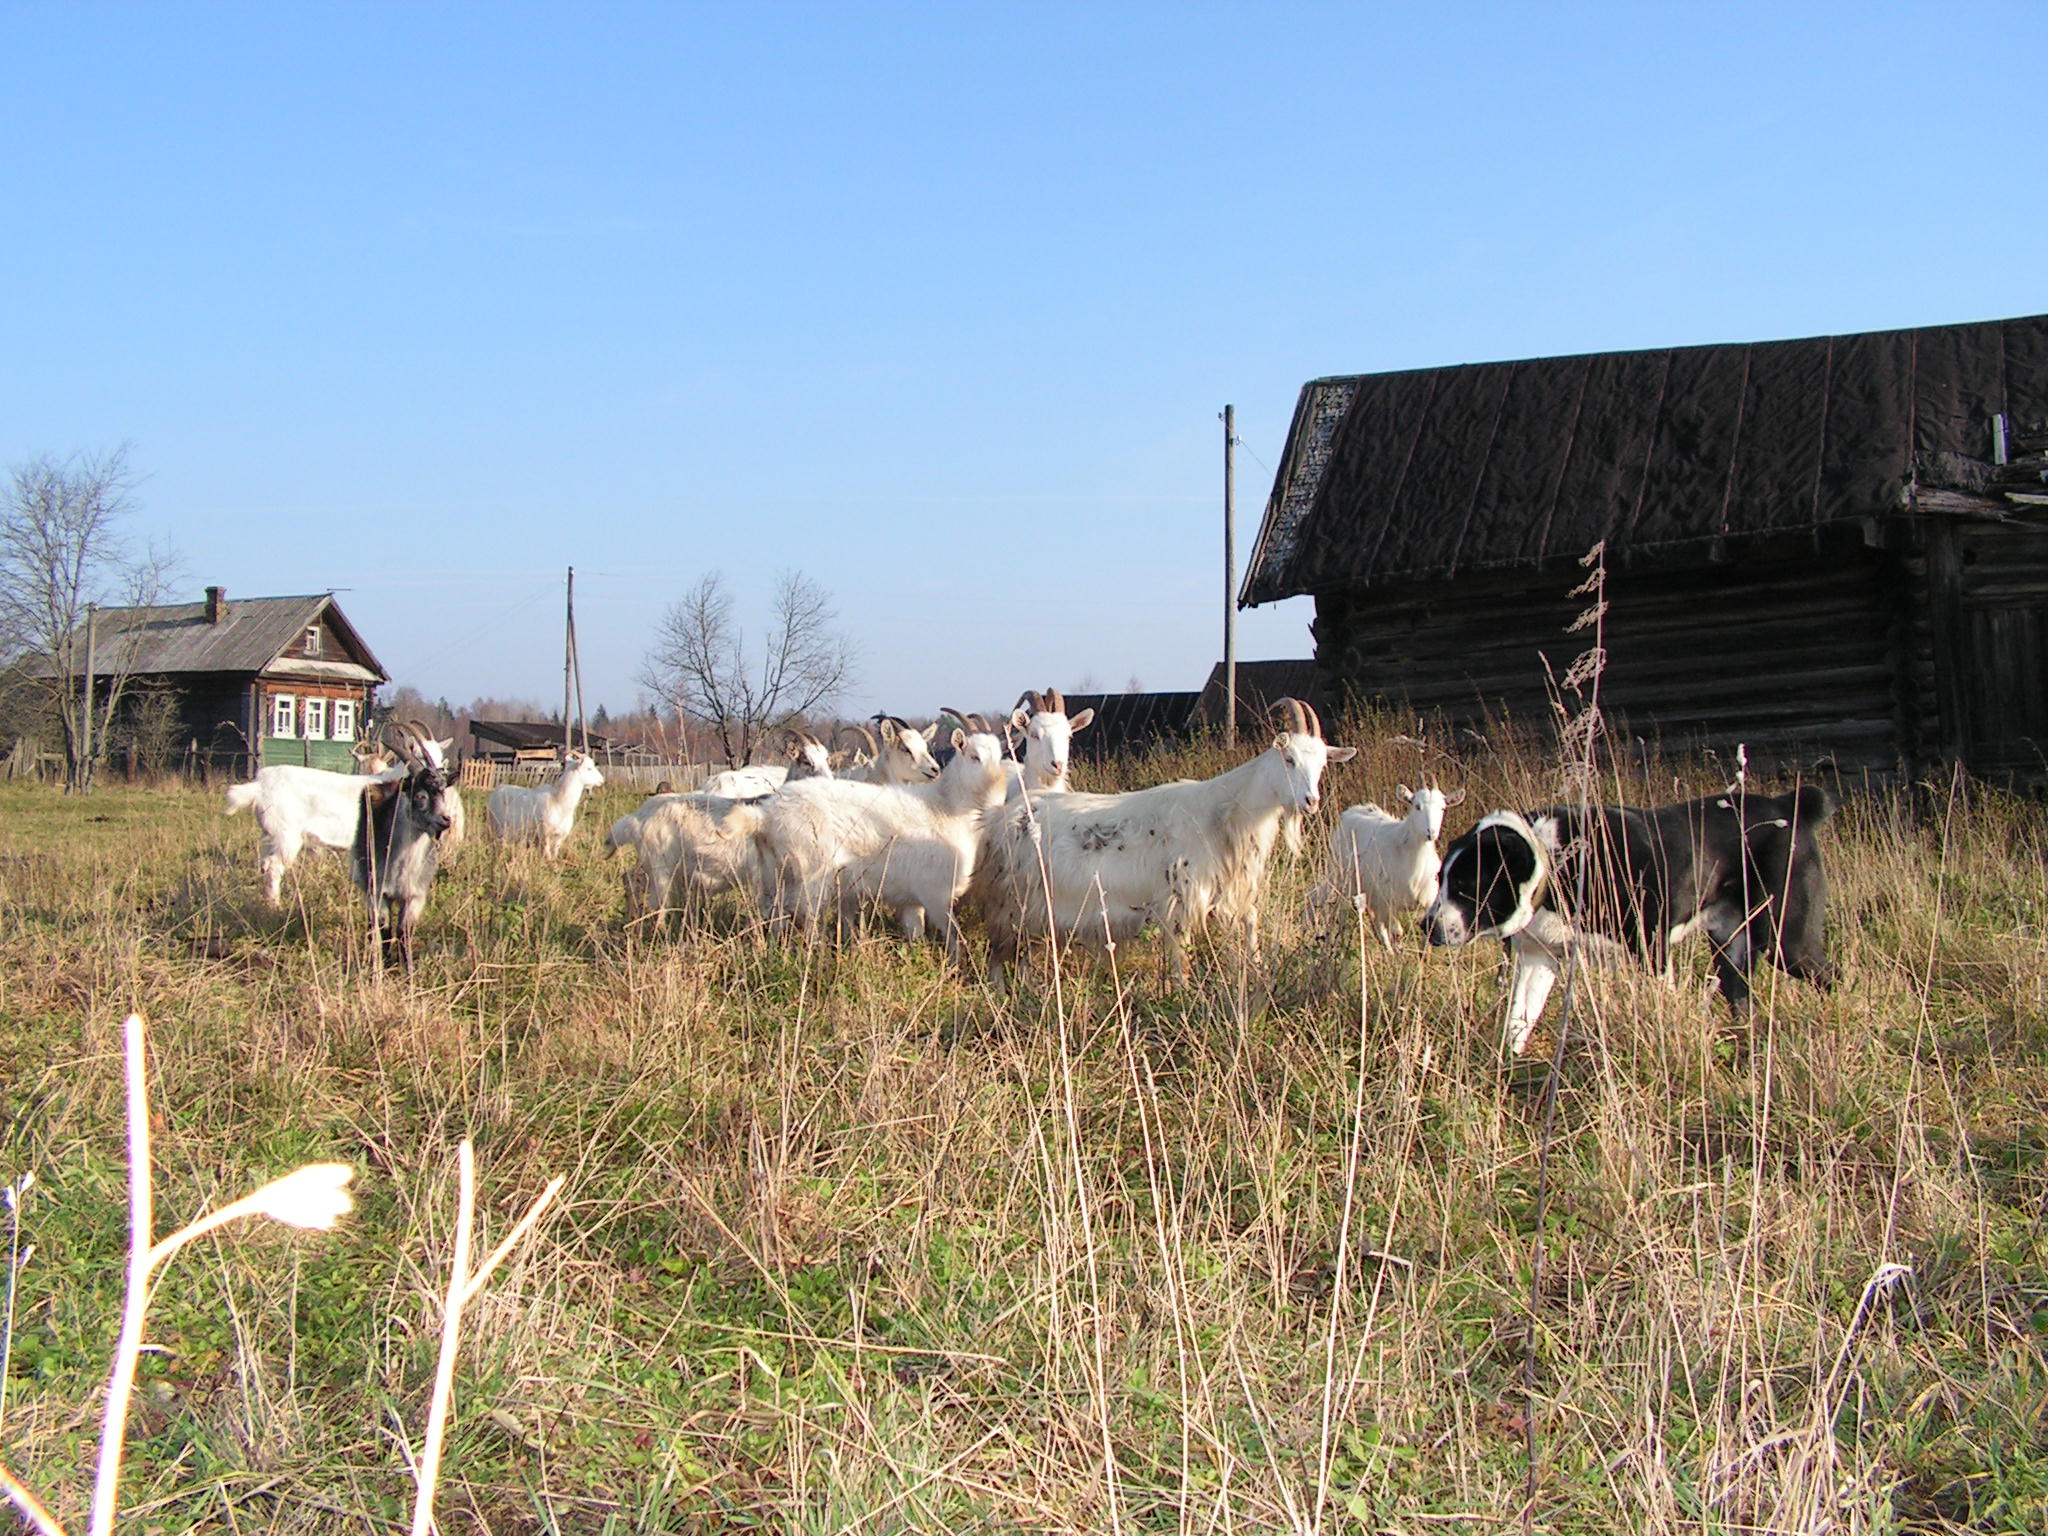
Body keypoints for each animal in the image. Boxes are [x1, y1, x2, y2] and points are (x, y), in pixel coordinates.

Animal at [351, 725, 457, 969]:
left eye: (443, 792)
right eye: (420, 796)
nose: (446, 820)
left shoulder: (415, 896)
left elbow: (404, 932)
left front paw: (407, 968)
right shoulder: (378, 892)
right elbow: (385, 929)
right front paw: (384, 965)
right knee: (373, 926)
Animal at [761, 729, 1009, 961]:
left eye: (1000, 757)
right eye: (974, 757)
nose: (997, 795)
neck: (946, 807)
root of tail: (769, 813)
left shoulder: (912, 901)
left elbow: (915, 935)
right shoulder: (936, 897)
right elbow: (955, 940)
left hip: (778, 877)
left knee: (776, 916)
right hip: (812, 879)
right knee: (808, 919)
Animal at [971, 698, 1356, 991]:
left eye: (1323, 763)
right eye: (1289, 760)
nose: (1311, 801)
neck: (1225, 812)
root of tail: (1003, 815)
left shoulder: (1231, 892)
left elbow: (1250, 924)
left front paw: (1255, 973)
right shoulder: (1179, 900)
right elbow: (1180, 954)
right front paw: (1181, 993)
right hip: (1009, 899)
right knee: (999, 950)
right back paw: (999, 991)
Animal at [1308, 784, 1466, 949]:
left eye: (1443, 808)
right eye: (1417, 806)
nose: (1431, 832)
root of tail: (1352, 810)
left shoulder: (1428, 901)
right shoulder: (1388, 901)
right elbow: (1396, 932)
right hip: (1341, 875)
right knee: (1332, 905)